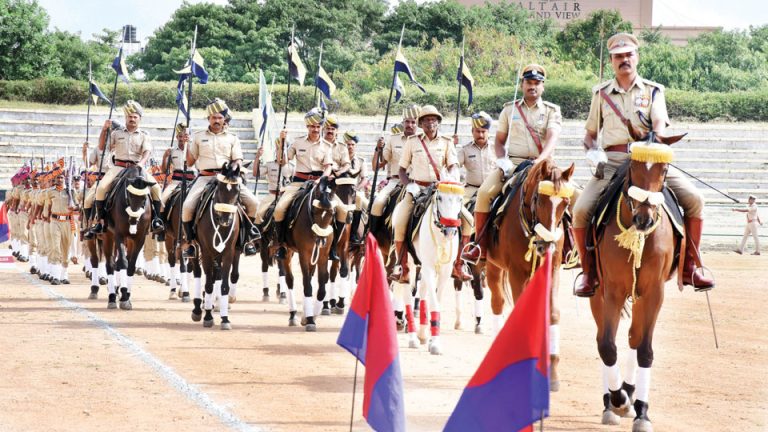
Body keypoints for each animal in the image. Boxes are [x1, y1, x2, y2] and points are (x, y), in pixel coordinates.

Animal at [190, 163, 242, 330]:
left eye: (238, 189)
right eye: (219, 189)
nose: (226, 219)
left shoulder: (229, 252)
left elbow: (224, 284)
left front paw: (225, 318)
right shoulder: (206, 252)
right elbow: (208, 284)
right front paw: (207, 316)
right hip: (195, 248)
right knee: (198, 272)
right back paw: (198, 308)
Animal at [278, 177, 334, 332]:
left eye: (332, 213)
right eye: (315, 211)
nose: (321, 240)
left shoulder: (322, 256)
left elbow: (322, 285)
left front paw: (311, 316)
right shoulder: (304, 253)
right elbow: (307, 285)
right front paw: (310, 320)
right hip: (287, 252)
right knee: (290, 280)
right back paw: (293, 315)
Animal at [400, 181, 464, 356]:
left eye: (460, 199)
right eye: (440, 198)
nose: (450, 230)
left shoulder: (444, 271)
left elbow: (437, 300)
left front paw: (430, 339)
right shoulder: (429, 267)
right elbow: (434, 303)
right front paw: (435, 343)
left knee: (422, 292)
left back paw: (422, 334)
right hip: (409, 265)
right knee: (407, 294)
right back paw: (413, 338)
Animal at [486, 159, 576, 392]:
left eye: (565, 203)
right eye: (539, 199)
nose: (547, 245)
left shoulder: (552, 269)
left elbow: (552, 313)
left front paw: (552, 373)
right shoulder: (516, 272)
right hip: (492, 265)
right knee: (497, 301)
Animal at [588, 143, 680, 430]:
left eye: (665, 169)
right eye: (633, 168)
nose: (644, 219)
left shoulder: (654, 293)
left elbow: (644, 349)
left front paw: (641, 412)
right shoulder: (612, 290)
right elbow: (606, 345)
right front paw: (617, 399)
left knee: (634, 336)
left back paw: (631, 394)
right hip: (598, 292)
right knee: (604, 338)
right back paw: (612, 403)